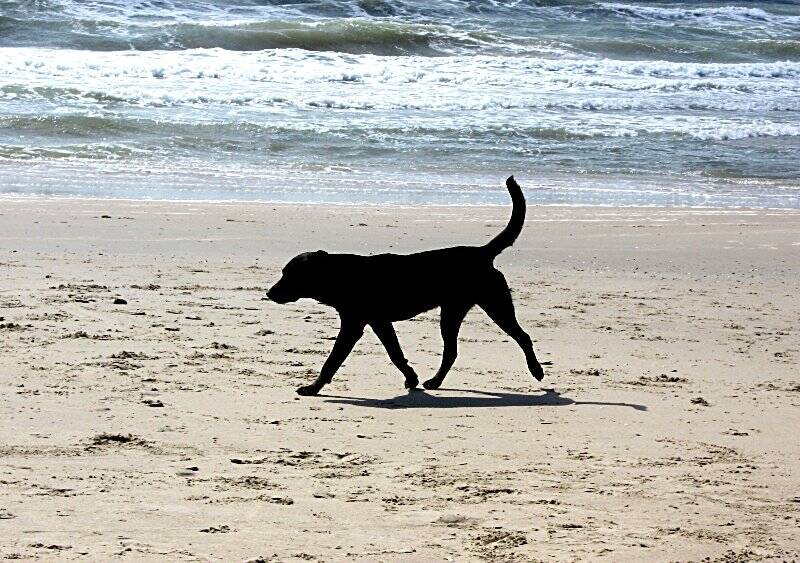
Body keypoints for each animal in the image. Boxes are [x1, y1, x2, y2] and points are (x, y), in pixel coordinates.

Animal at [268, 177, 544, 396]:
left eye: (289, 274)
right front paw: (411, 378)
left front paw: (312, 388)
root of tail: (482, 253)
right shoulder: (379, 322)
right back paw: (434, 382)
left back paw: (537, 370)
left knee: (523, 337)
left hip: (495, 305)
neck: (342, 275)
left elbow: (333, 360)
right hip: (452, 312)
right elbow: (395, 353)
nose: (269, 293)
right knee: (451, 351)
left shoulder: (354, 324)